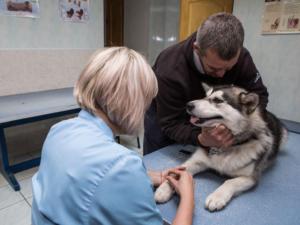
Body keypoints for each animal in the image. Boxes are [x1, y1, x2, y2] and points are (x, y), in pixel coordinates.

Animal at [155, 84, 288, 211]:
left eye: (217, 100)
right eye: (205, 96)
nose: (188, 105)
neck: (226, 147)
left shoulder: (250, 178)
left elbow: (229, 182)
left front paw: (217, 197)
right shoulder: (196, 161)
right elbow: (175, 173)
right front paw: (164, 189)